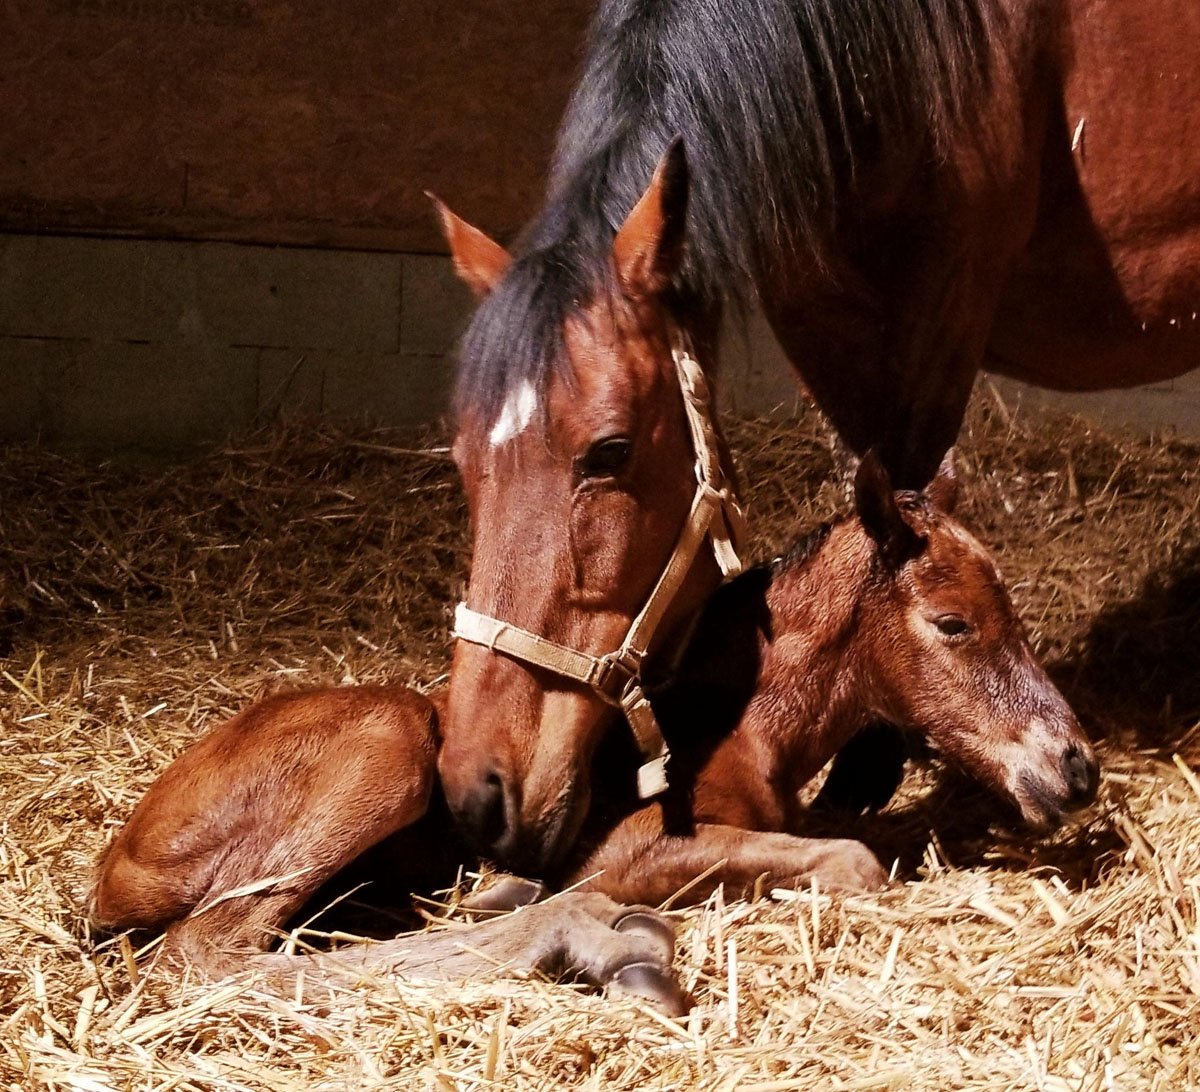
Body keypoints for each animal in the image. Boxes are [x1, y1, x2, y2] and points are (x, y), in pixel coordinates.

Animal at [90, 456, 1097, 1012]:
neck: (733, 725)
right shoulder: (629, 848)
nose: (1076, 768)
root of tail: (115, 864)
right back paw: (589, 938)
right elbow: (854, 860)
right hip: (389, 739)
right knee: (212, 955)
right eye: (953, 623)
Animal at [434, 0, 1199, 873]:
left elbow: (904, 480)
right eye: (462, 460)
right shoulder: (814, 309)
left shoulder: (946, 304)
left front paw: (869, 764)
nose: (479, 790)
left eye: (610, 452)